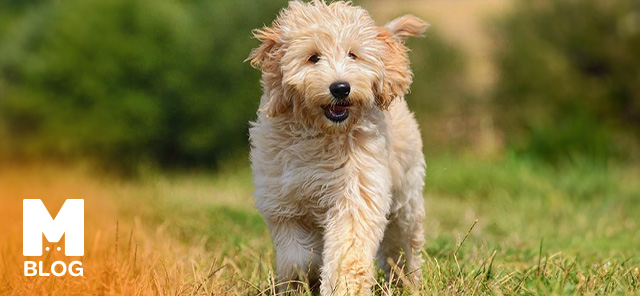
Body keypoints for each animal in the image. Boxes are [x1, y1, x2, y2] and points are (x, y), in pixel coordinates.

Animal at [248, 1, 428, 294]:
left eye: (353, 55)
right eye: (313, 57)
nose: (341, 88)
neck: (321, 134)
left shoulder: (356, 194)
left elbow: (348, 251)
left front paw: (343, 287)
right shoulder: (282, 202)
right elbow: (296, 256)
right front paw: (304, 276)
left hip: (406, 196)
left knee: (404, 241)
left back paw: (408, 280)